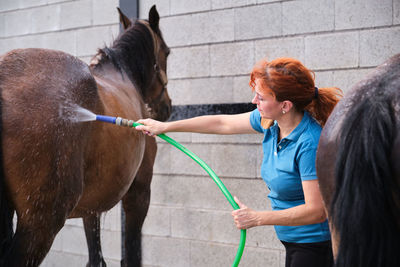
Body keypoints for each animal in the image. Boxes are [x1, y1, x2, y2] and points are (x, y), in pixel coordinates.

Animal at [0, 4, 170, 267]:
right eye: (167, 53)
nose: (166, 108)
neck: (122, 75)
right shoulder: (139, 194)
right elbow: (131, 255)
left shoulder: (92, 207)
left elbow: (95, 258)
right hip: (40, 226)